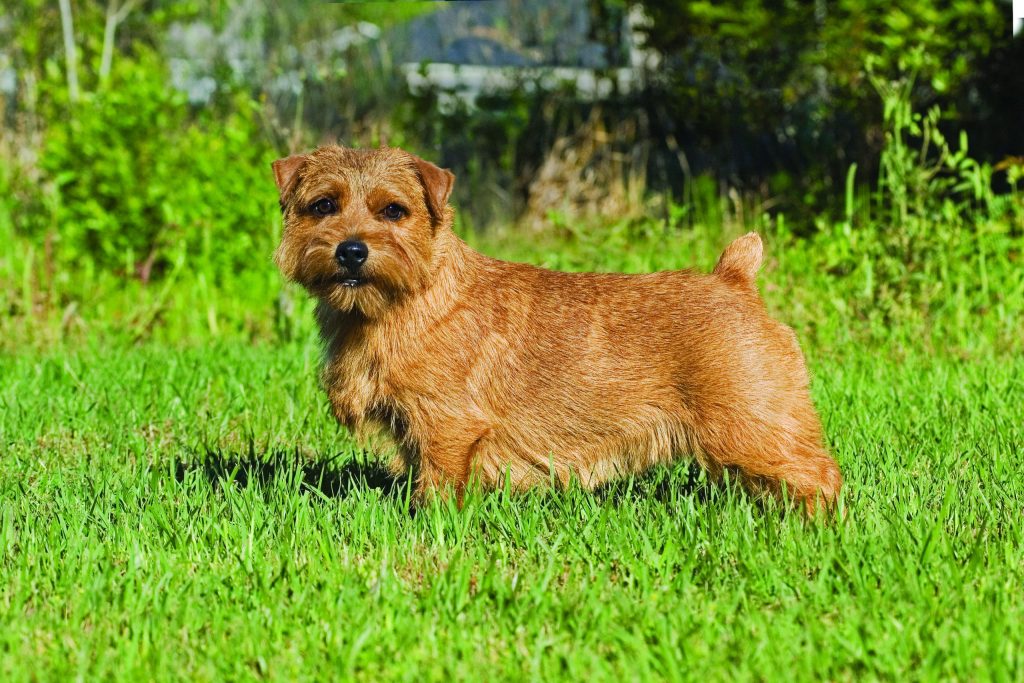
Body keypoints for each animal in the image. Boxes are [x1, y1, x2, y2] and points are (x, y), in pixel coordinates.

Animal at [272, 147, 839, 516]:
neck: (403, 303)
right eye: (323, 205)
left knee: (820, 474)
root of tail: (734, 276)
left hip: (753, 423)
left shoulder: (448, 427)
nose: (351, 250)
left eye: (394, 210)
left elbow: (438, 491)